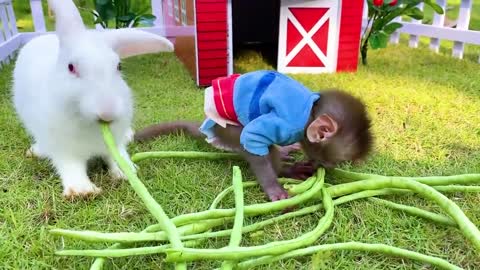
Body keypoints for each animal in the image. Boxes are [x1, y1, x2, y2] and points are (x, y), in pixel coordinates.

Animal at [12, 0, 173, 198]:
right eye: (71, 67)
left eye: (118, 66)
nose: (107, 112)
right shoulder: (64, 149)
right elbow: (71, 167)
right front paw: (82, 191)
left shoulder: (115, 143)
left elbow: (117, 156)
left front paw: (126, 171)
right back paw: (36, 151)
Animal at [133, 70, 374, 201]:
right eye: (327, 161)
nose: (320, 167)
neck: (309, 112)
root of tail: (206, 124)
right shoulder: (286, 122)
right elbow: (253, 137)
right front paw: (274, 186)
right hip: (227, 129)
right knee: (247, 138)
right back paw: (285, 169)